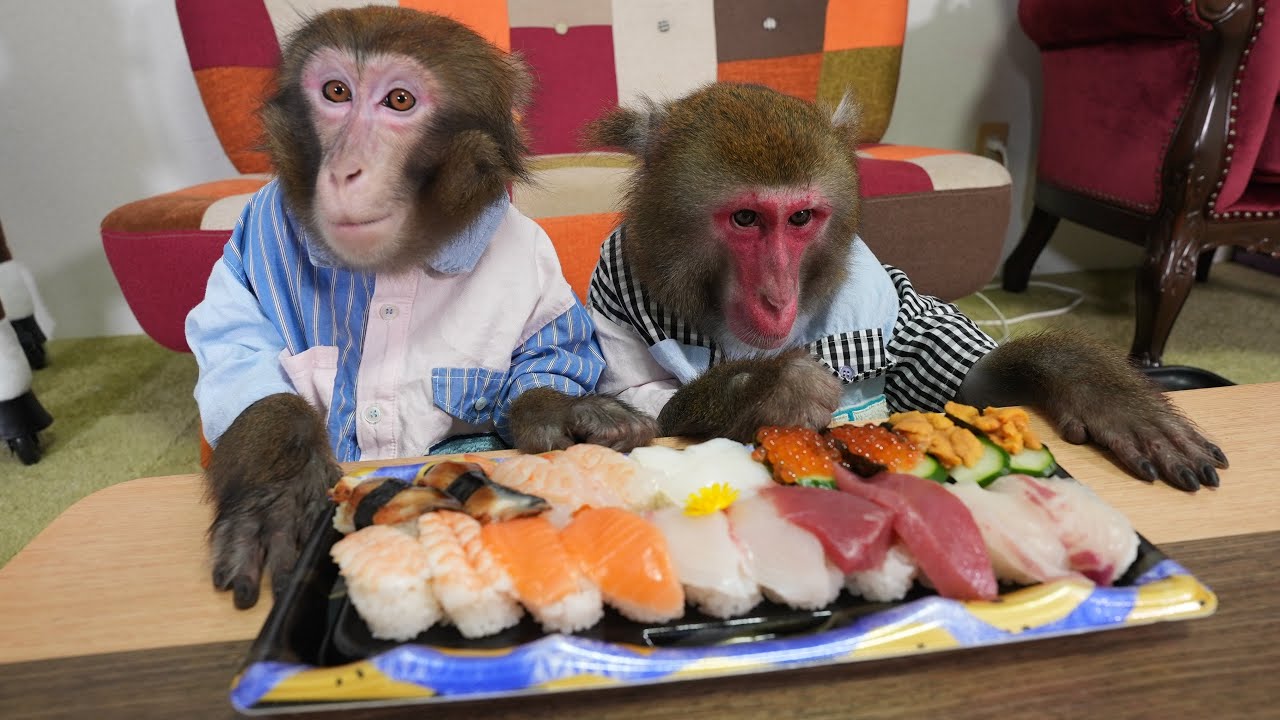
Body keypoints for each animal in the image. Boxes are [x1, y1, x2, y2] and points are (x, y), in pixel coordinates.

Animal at [185, 7, 657, 610]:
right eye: (335, 91)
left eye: (399, 101)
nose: (345, 170)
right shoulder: (261, 227)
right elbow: (236, 347)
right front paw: (277, 484)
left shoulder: (527, 252)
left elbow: (548, 351)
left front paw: (565, 409)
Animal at [583, 83, 1227, 494]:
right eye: (746, 219)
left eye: (800, 219)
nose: (777, 297)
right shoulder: (614, 297)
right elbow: (647, 414)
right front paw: (772, 389)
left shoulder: (892, 298)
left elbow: (969, 386)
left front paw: (1099, 389)